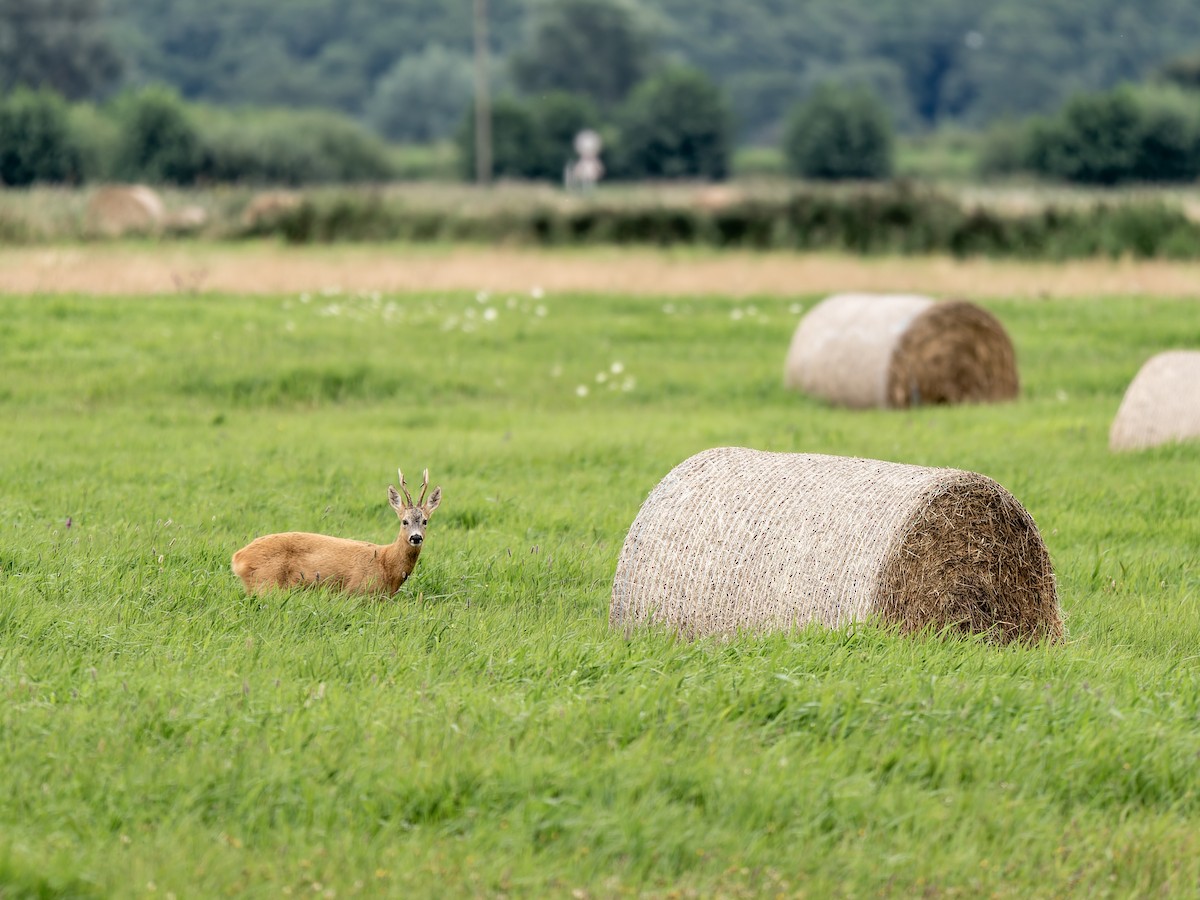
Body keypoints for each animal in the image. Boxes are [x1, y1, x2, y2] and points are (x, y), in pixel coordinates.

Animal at [231, 468, 442, 597]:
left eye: (425, 521)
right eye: (404, 521)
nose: (416, 537)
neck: (386, 563)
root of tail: (238, 558)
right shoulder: (358, 592)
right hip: (266, 583)